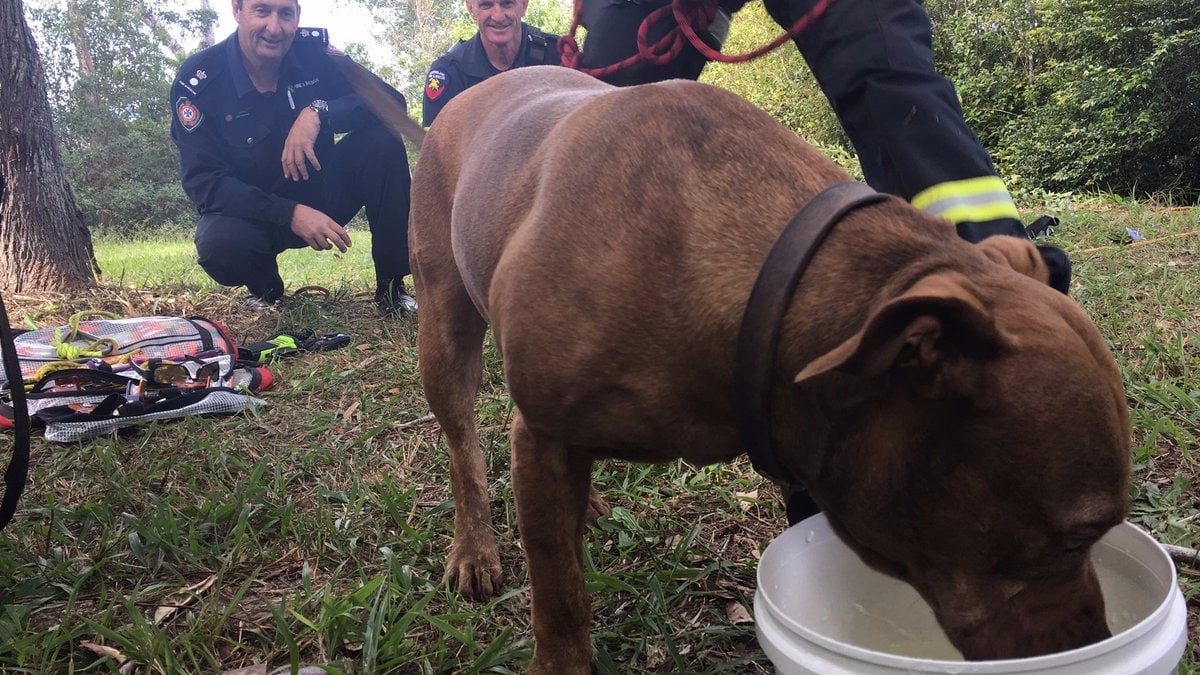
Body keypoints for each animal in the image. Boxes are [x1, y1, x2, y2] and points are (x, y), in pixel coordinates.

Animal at [408, 65, 1128, 667]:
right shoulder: (545, 431)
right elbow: (558, 595)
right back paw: (474, 548)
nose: (1099, 640)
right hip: (443, 331)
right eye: (1076, 538)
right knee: (463, 446)